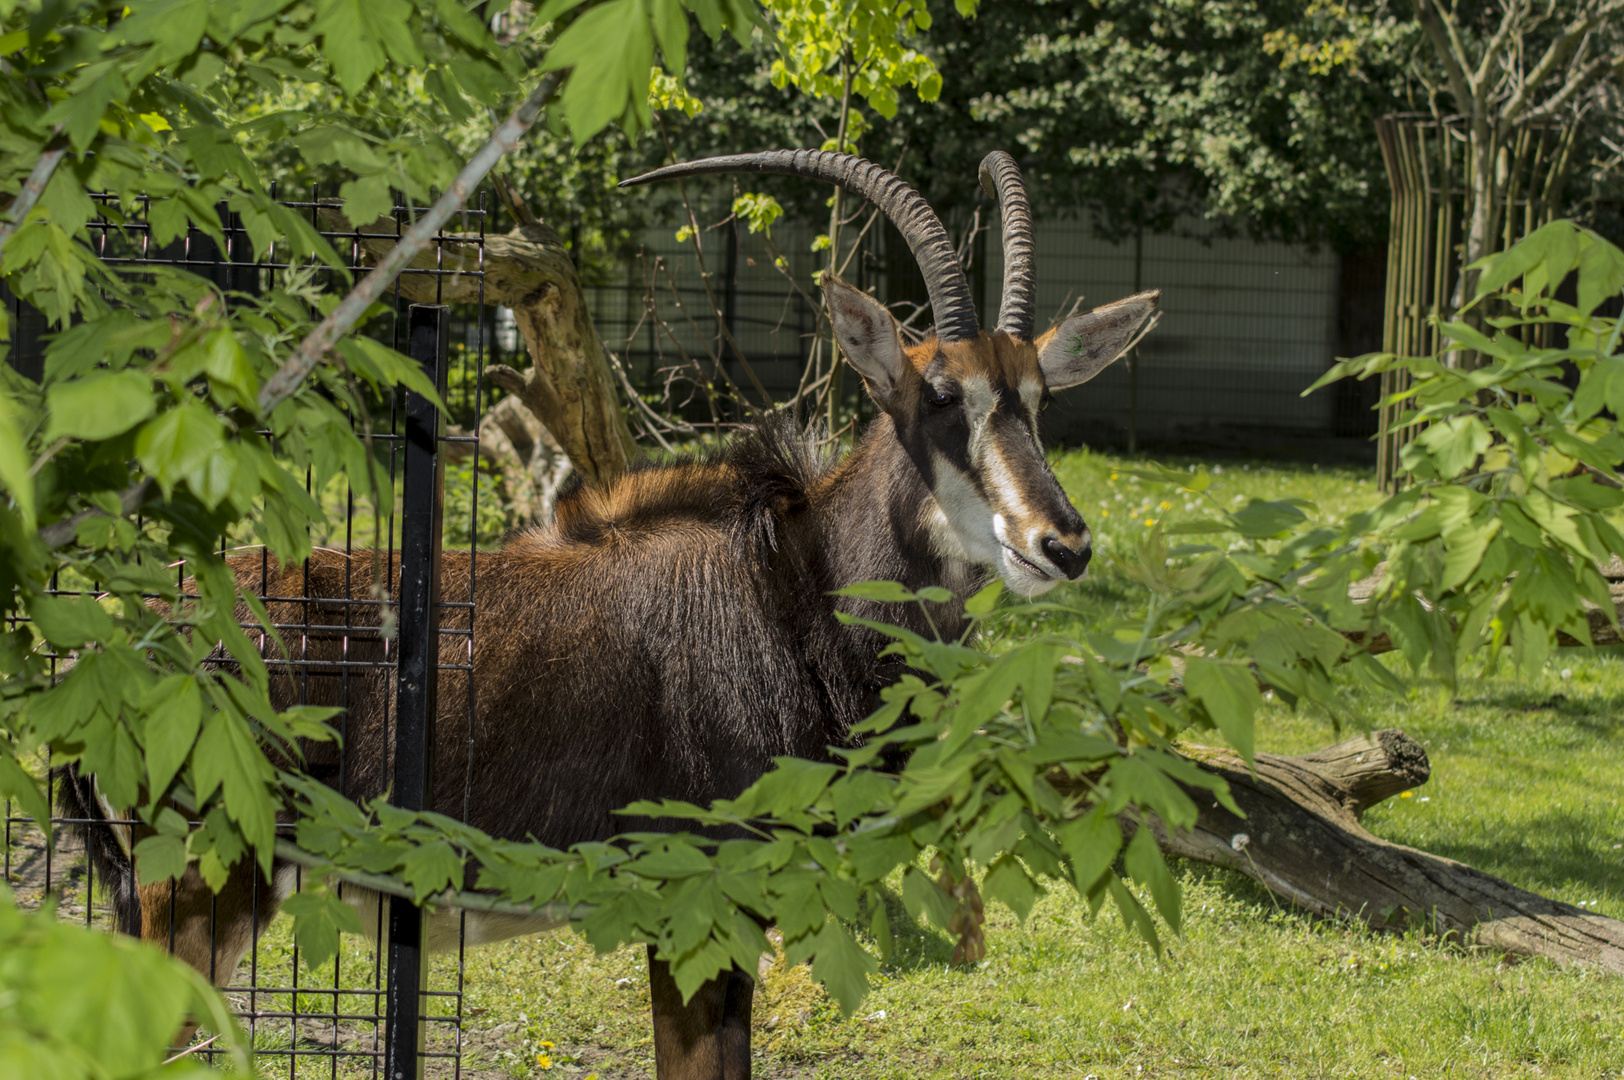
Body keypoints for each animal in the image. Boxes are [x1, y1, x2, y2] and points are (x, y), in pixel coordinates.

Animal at [60, 149, 1156, 1078]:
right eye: (937, 395)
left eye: (1037, 398)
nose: (1061, 543)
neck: (792, 590)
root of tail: (126, 636)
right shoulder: (693, 907)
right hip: (200, 886)